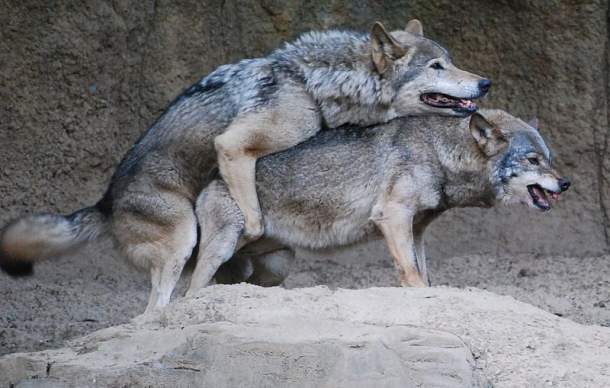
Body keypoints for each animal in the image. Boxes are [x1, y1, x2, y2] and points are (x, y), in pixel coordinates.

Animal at [0, 20, 490, 312]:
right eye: (437, 65)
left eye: (451, 61)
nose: (485, 82)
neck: (311, 83)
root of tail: (104, 202)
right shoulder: (233, 145)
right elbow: (250, 210)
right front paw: (250, 225)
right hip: (183, 238)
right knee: (161, 305)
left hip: (278, 263)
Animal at [186, 109, 568, 292]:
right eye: (533, 160)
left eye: (549, 158)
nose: (565, 183)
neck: (438, 153)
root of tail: (211, 178)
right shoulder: (393, 216)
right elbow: (411, 275)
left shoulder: (416, 230)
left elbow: (424, 275)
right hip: (224, 248)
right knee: (188, 292)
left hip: (278, 265)